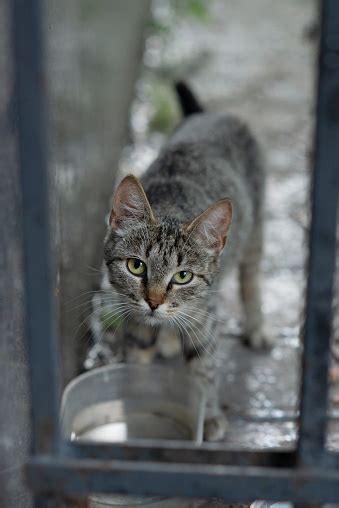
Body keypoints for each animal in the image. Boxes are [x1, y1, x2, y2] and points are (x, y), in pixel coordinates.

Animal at [102, 81, 272, 438]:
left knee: (251, 279)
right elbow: (137, 361)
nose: (153, 302)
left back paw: (256, 326)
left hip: (255, 231)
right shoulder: (133, 320)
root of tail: (212, 113)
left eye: (183, 276)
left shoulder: (204, 317)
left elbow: (204, 366)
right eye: (136, 266)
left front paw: (208, 415)